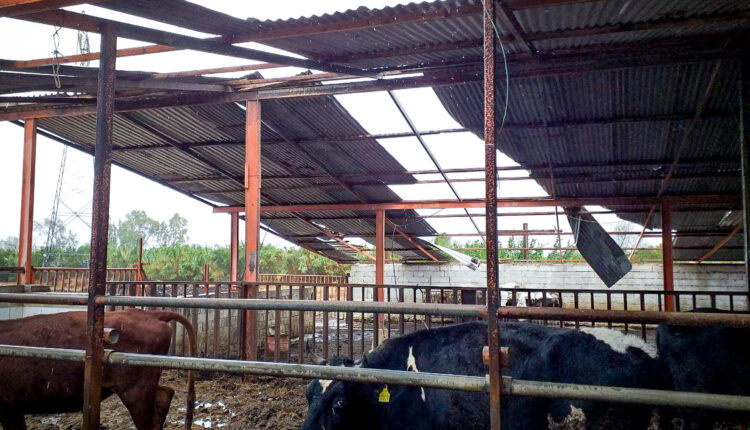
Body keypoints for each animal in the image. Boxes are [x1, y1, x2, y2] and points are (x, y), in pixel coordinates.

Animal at [0, 308, 196, 430]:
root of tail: (149, 314)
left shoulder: (9, 408)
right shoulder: (13, 409)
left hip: (136, 391)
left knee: (151, 421)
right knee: (165, 393)